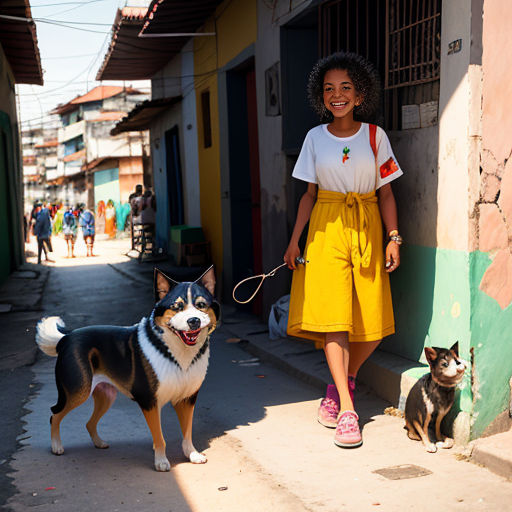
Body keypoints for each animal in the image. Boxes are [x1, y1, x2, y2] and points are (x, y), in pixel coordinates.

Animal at [35, 268, 219, 472]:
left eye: (201, 305)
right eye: (177, 307)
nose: (194, 321)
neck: (175, 351)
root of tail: (66, 338)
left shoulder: (187, 398)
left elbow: (187, 432)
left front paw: (192, 454)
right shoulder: (150, 401)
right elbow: (159, 437)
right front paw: (161, 461)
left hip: (106, 394)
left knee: (89, 422)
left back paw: (99, 443)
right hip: (78, 391)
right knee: (54, 414)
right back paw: (56, 446)